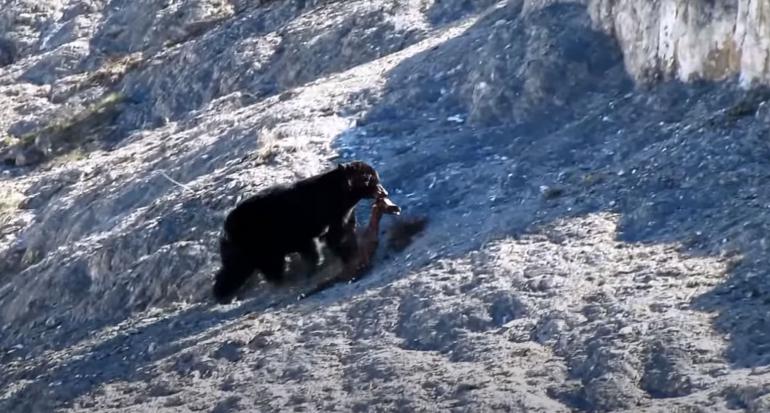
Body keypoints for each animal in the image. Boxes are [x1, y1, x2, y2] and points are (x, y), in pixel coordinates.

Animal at [212, 159, 388, 300]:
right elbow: (326, 241)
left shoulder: (340, 217)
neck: (337, 197)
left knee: (240, 267)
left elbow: (341, 235)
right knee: (250, 266)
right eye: (370, 180)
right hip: (256, 241)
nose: (384, 192)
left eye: (376, 178)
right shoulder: (308, 221)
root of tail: (225, 227)